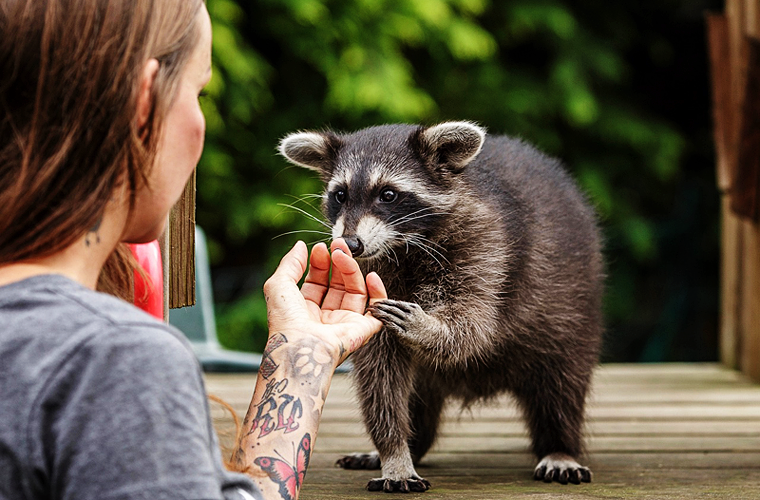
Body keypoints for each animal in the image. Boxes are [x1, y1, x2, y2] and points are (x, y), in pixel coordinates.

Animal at [276, 122, 604, 492]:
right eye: (340, 195)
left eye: (388, 194)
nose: (350, 244)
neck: (402, 246)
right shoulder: (373, 278)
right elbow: (380, 374)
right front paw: (393, 452)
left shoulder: (487, 246)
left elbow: (473, 322)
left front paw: (429, 328)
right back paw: (413, 444)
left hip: (572, 308)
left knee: (562, 383)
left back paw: (560, 445)